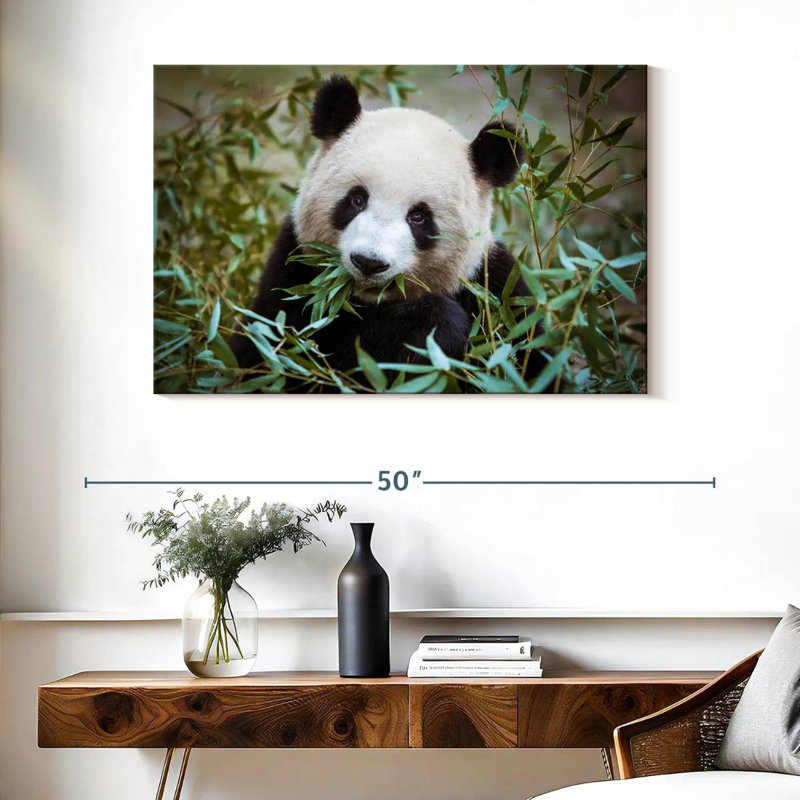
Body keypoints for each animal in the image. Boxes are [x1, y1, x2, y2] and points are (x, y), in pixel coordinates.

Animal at [231, 74, 546, 383]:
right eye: (357, 199)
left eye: (419, 217)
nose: (369, 262)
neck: (370, 302)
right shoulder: (294, 272)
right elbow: (292, 352)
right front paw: (438, 327)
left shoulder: (498, 291)